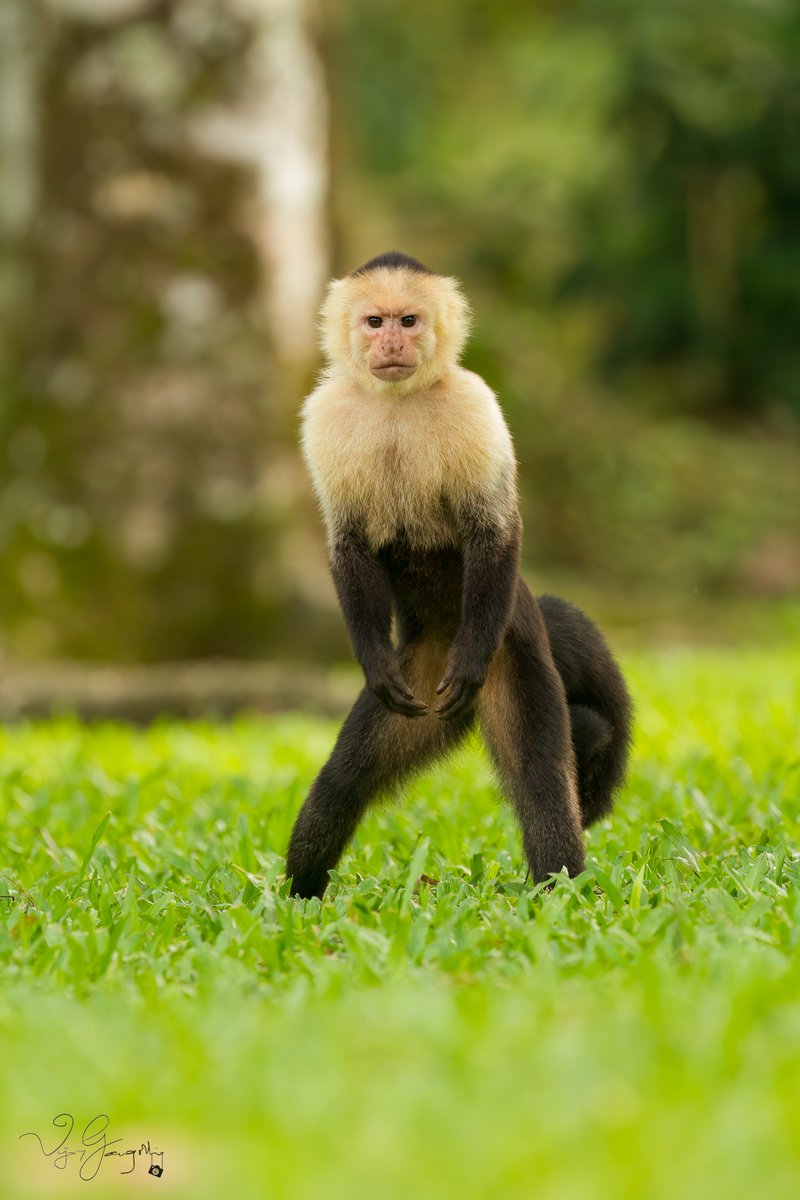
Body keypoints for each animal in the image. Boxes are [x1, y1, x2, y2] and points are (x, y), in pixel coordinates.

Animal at [286, 250, 632, 900]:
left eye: (409, 320)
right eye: (375, 321)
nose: (393, 342)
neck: (396, 401)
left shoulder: (477, 403)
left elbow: (494, 530)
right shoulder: (324, 414)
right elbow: (347, 544)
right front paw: (369, 659)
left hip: (513, 655)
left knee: (540, 776)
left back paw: (560, 888)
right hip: (419, 682)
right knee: (344, 779)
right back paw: (299, 893)